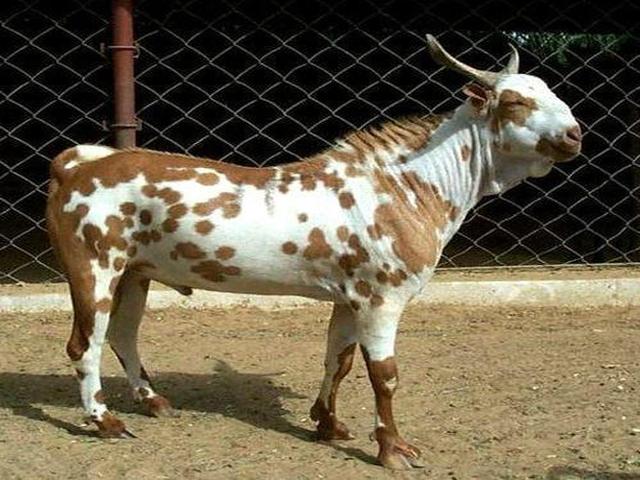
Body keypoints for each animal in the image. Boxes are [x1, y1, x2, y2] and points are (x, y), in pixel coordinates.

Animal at [46, 35, 581, 469]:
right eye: (514, 101)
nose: (575, 134)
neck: (404, 187)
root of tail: (75, 165)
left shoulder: (350, 298)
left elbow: (337, 362)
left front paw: (327, 424)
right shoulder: (383, 300)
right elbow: (384, 375)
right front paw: (392, 449)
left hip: (135, 271)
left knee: (122, 334)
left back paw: (151, 400)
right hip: (93, 266)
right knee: (84, 344)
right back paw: (104, 420)